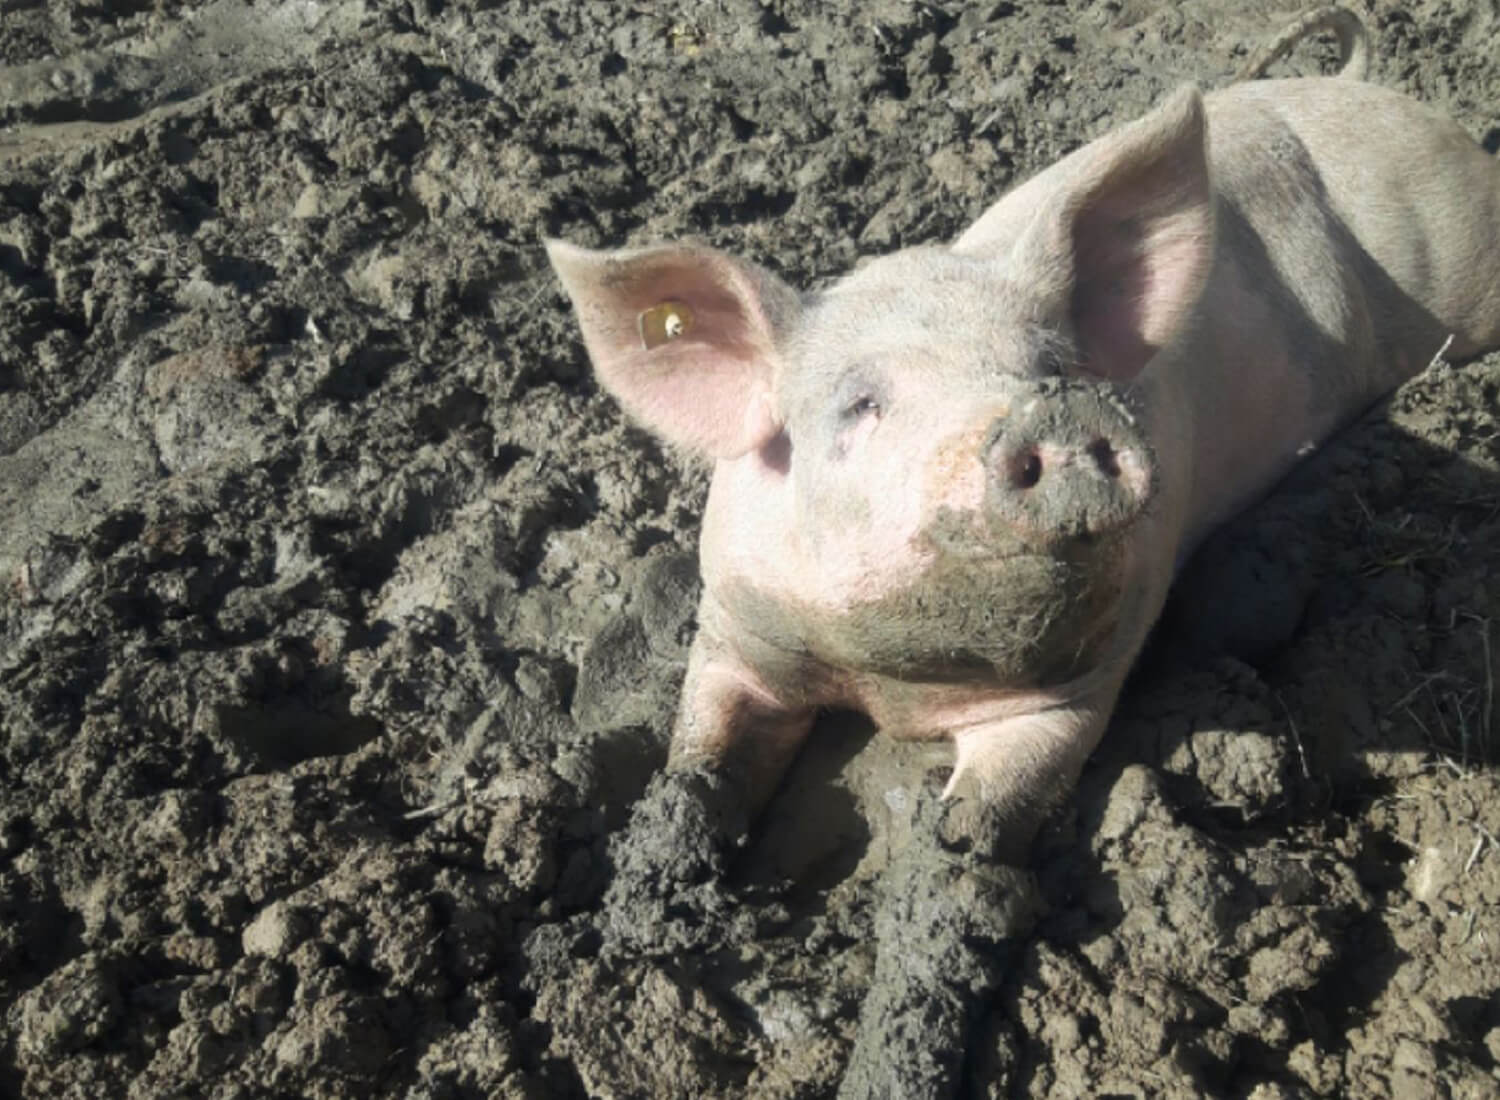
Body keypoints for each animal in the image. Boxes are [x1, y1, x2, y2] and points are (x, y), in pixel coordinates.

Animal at [546, 30, 1500, 867]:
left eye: (1052, 366)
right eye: (860, 403)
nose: (1053, 414)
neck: (893, 683)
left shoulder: (1082, 681)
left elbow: (999, 803)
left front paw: (957, 859)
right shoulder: (732, 626)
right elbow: (703, 749)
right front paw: (672, 863)